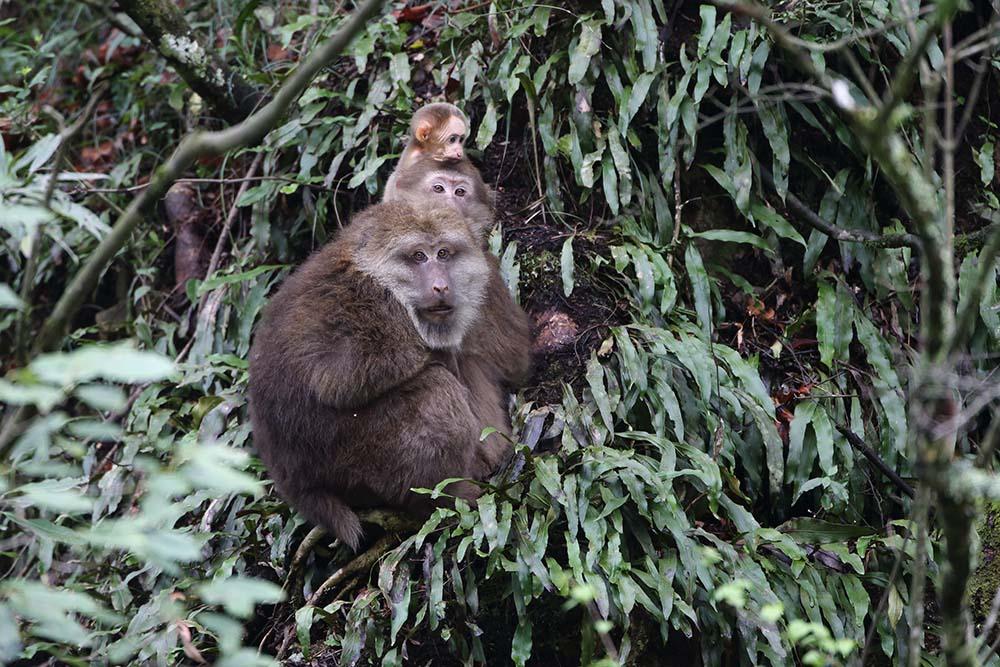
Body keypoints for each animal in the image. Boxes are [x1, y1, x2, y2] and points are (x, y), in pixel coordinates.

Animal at [248, 201, 532, 552]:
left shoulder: (487, 287)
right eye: (419, 256)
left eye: (444, 253)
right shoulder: (372, 304)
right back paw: (449, 497)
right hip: (356, 459)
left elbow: (514, 359)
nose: (441, 286)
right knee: (436, 390)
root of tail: (294, 482)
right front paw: (431, 352)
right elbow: (335, 379)